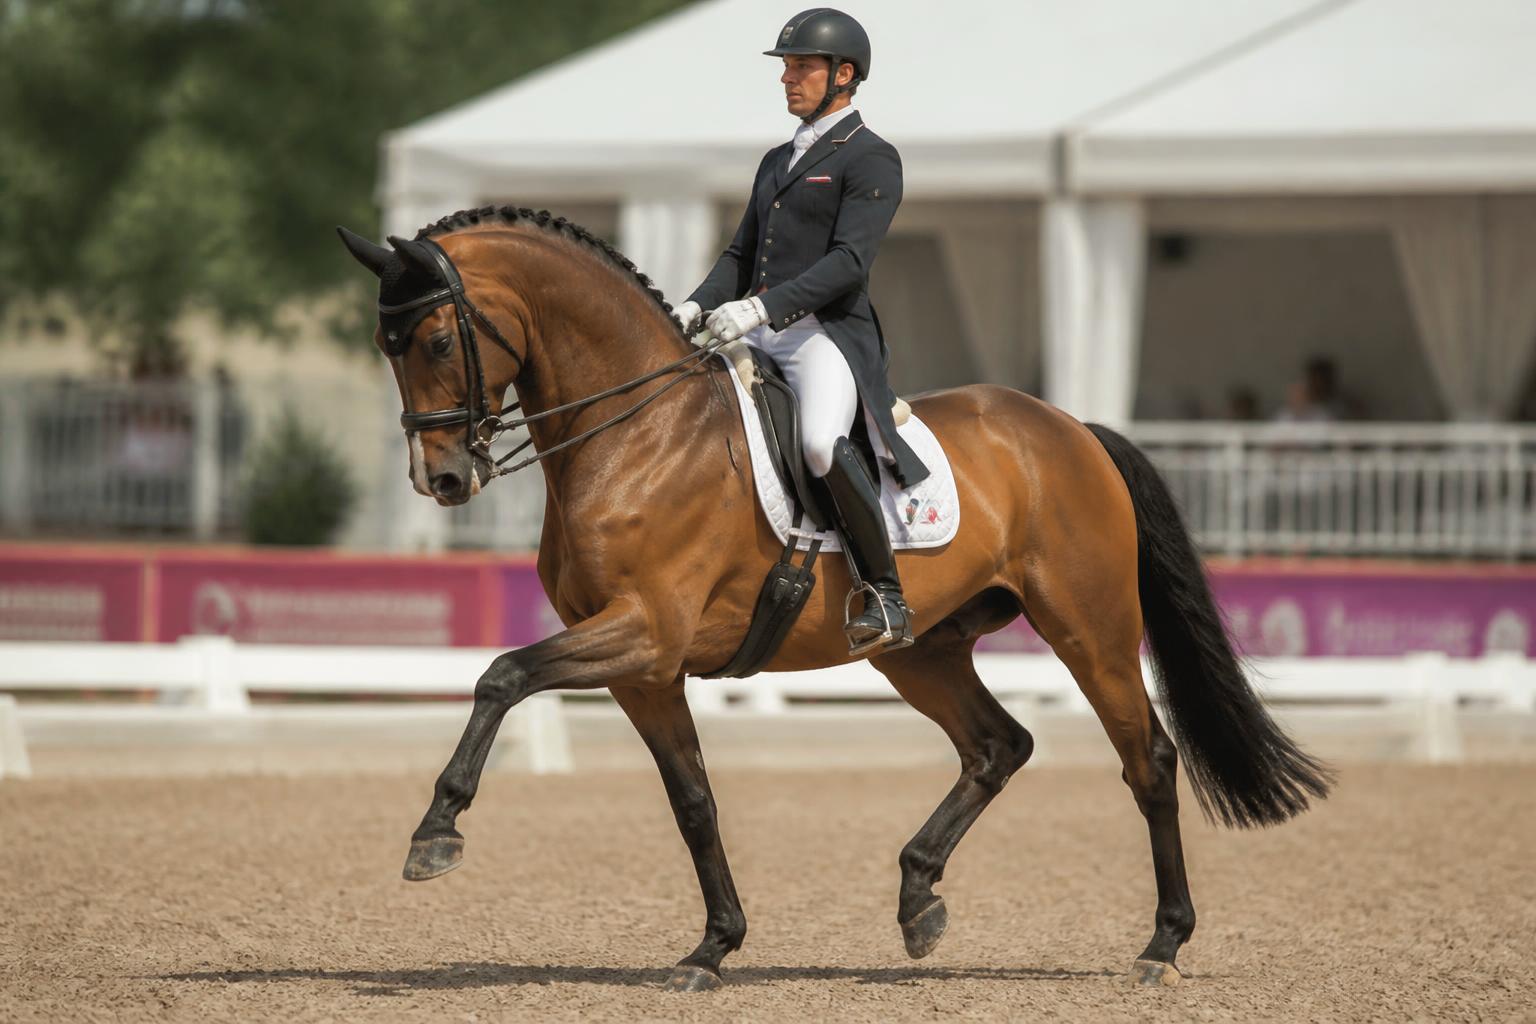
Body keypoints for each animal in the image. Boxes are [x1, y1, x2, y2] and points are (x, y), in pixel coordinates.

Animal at [336, 206, 1330, 993]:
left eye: (434, 341)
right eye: (385, 348)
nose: (442, 479)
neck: (637, 435)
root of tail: (1070, 428)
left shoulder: (644, 634)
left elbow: (501, 676)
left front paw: (435, 832)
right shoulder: (642, 669)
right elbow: (692, 802)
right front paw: (713, 948)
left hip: (1090, 628)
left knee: (1148, 760)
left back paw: (1161, 946)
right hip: (920, 649)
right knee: (997, 745)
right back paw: (919, 897)